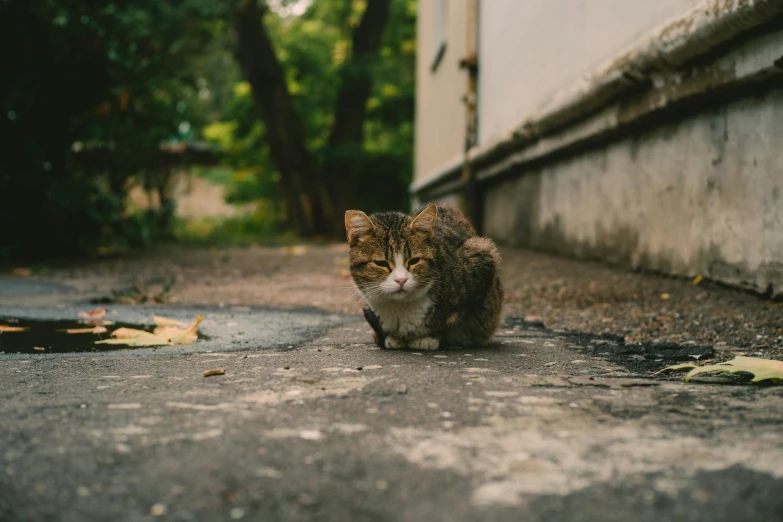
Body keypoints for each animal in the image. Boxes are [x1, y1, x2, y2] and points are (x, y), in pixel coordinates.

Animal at [346, 203, 506, 350]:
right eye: (381, 263)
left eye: (414, 261)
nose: (401, 280)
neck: (400, 306)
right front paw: (391, 338)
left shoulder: (482, 257)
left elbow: (450, 319)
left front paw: (427, 338)